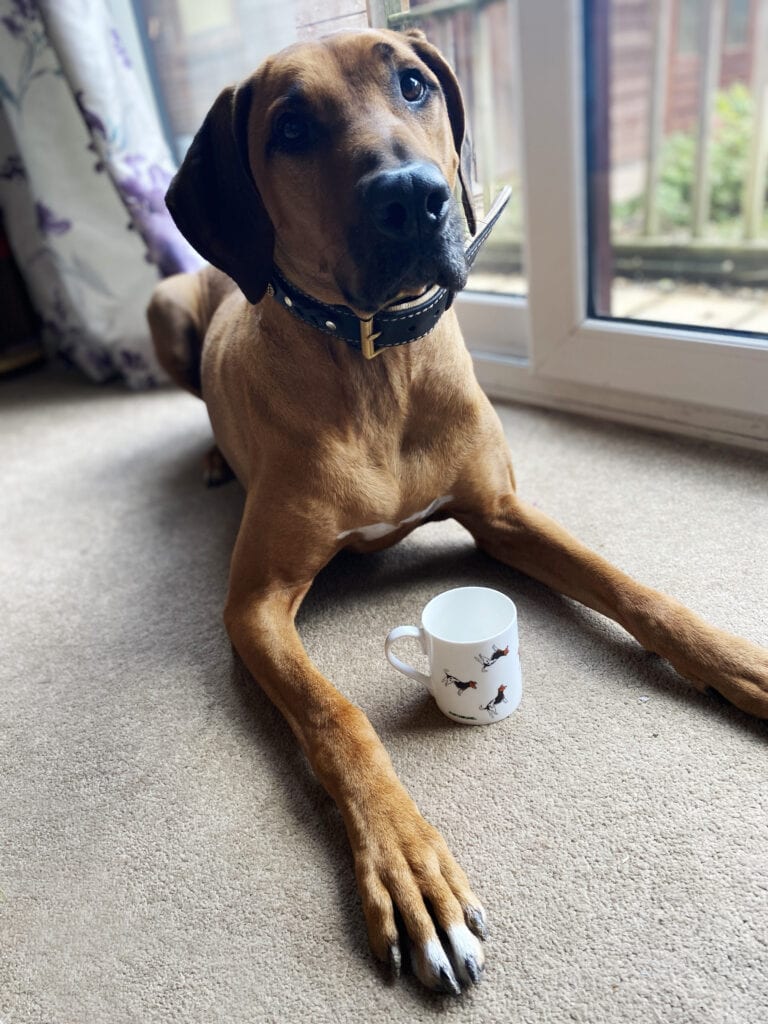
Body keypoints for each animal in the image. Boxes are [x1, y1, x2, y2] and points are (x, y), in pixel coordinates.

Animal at [148, 28, 768, 995]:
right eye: (290, 127)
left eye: (412, 84)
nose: (411, 198)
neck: (375, 367)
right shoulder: (252, 604)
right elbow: (339, 717)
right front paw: (410, 868)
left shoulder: (502, 512)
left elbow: (633, 589)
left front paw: (736, 660)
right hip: (163, 310)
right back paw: (215, 455)